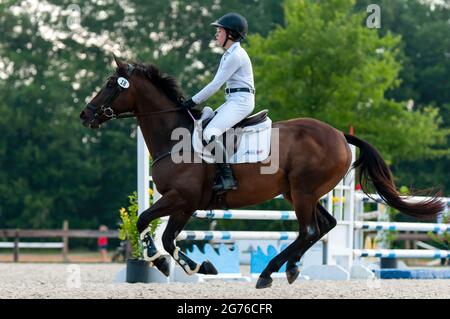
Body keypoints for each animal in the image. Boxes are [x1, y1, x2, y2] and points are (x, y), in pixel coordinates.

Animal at [80, 58, 442, 290]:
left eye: (112, 84)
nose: (86, 114)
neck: (173, 137)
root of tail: (341, 135)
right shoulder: (183, 203)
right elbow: (163, 234)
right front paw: (188, 265)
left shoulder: (181, 199)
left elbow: (150, 225)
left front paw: (170, 264)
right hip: (299, 192)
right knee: (324, 226)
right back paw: (290, 267)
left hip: (303, 191)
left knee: (309, 229)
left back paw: (269, 273)